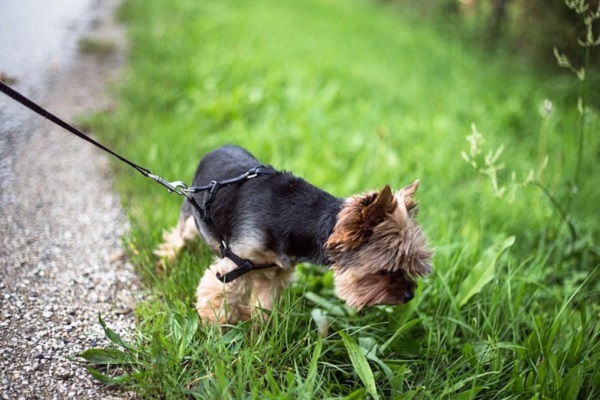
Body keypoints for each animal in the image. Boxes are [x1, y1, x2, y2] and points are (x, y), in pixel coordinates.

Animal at [152, 145, 428, 324]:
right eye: (387, 269)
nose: (409, 295)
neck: (303, 221)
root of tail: (216, 148)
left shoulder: (273, 273)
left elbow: (264, 305)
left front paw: (257, 330)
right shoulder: (232, 267)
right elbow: (217, 300)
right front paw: (217, 335)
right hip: (193, 213)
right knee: (178, 236)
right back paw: (167, 263)